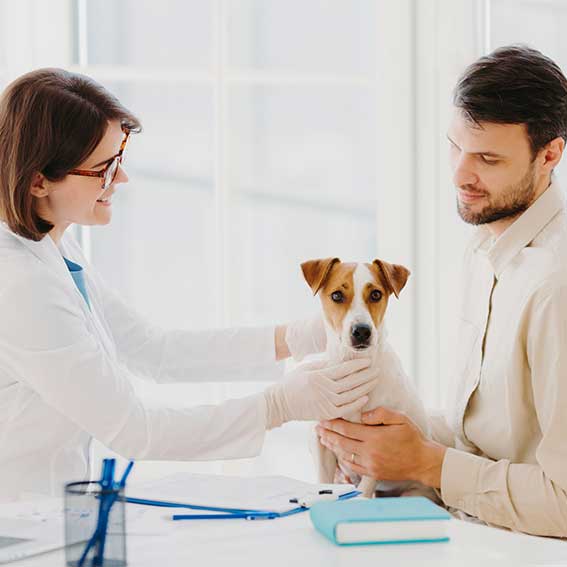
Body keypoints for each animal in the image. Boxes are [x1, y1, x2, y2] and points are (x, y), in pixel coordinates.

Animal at [306, 260, 434, 500]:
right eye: (337, 295)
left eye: (376, 294)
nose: (362, 331)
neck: (354, 367)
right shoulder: (322, 441)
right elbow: (322, 479)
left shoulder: (377, 445)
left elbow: (366, 484)